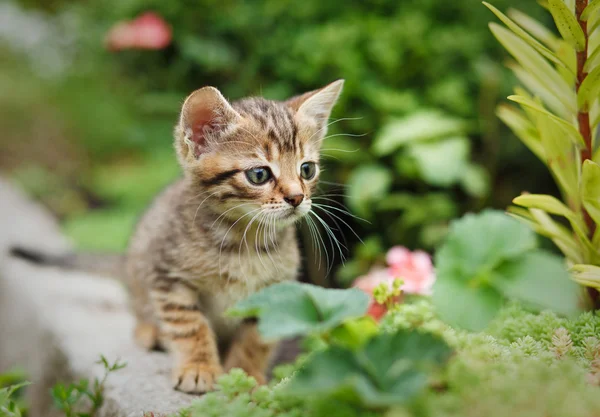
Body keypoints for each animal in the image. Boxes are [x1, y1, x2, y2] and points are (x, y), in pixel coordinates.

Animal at [12, 79, 342, 394]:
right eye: (259, 175)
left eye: (307, 169)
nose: (297, 197)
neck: (243, 242)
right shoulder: (169, 276)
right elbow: (189, 325)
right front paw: (199, 368)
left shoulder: (274, 291)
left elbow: (255, 338)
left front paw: (245, 375)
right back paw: (149, 331)